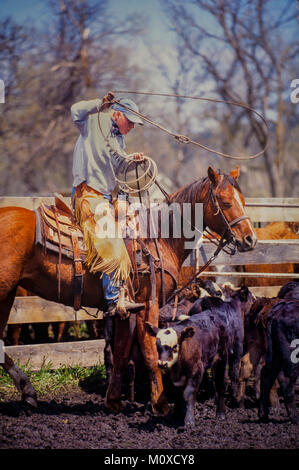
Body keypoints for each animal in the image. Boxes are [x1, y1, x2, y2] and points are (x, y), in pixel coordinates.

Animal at [0, 165, 258, 412]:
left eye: (243, 200)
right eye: (225, 201)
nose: (250, 239)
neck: (158, 238)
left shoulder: (126, 310)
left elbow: (122, 351)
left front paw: (114, 400)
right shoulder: (148, 303)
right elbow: (149, 349)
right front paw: (160, 405)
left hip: (8, 293)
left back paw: (28, 391)